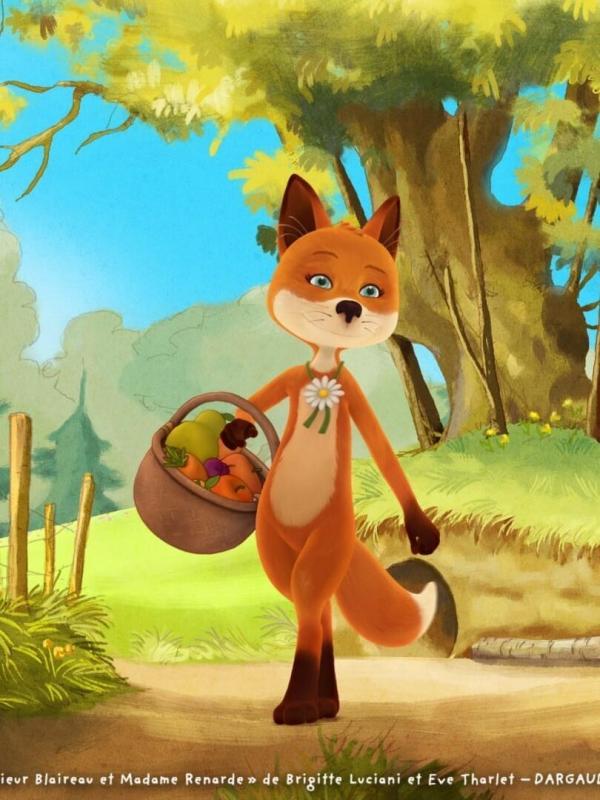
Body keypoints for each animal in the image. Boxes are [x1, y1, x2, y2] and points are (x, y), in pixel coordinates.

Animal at [223, 174, 441, 726]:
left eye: (371, 290)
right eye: (321, 281)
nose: (349, 308)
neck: (323, 372)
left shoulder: (355, 400)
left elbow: (386, 457)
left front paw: (421, 530)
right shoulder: (292, 379)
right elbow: (256, 400)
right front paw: (234, 435)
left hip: (327, 543)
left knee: (313, 608)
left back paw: (315, 703)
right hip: (276, 553)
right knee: (315, 612)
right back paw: (319, 702)